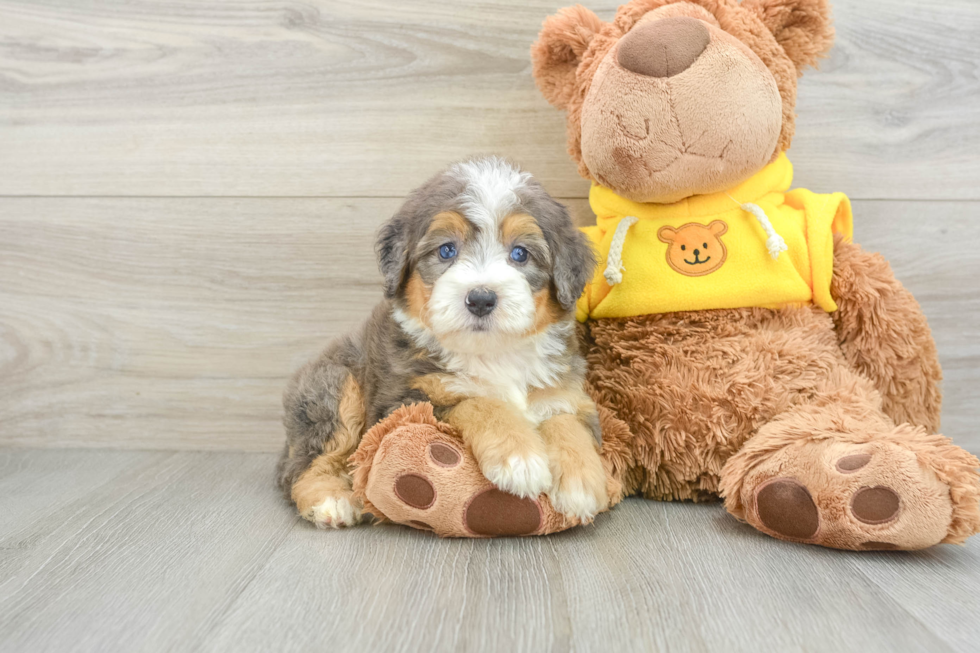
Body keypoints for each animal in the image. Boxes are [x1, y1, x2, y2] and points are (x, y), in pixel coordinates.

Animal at [276, 155, 608, 528]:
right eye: (447, 250)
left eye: (520, 254)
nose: (481, 299)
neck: (493, 354)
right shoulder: (405, 400)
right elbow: (478, 402)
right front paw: (519, 458)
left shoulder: (565, 392)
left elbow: (567, 422)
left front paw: (581, 483)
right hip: (335, 385)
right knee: (305, 463)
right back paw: (330, 500)